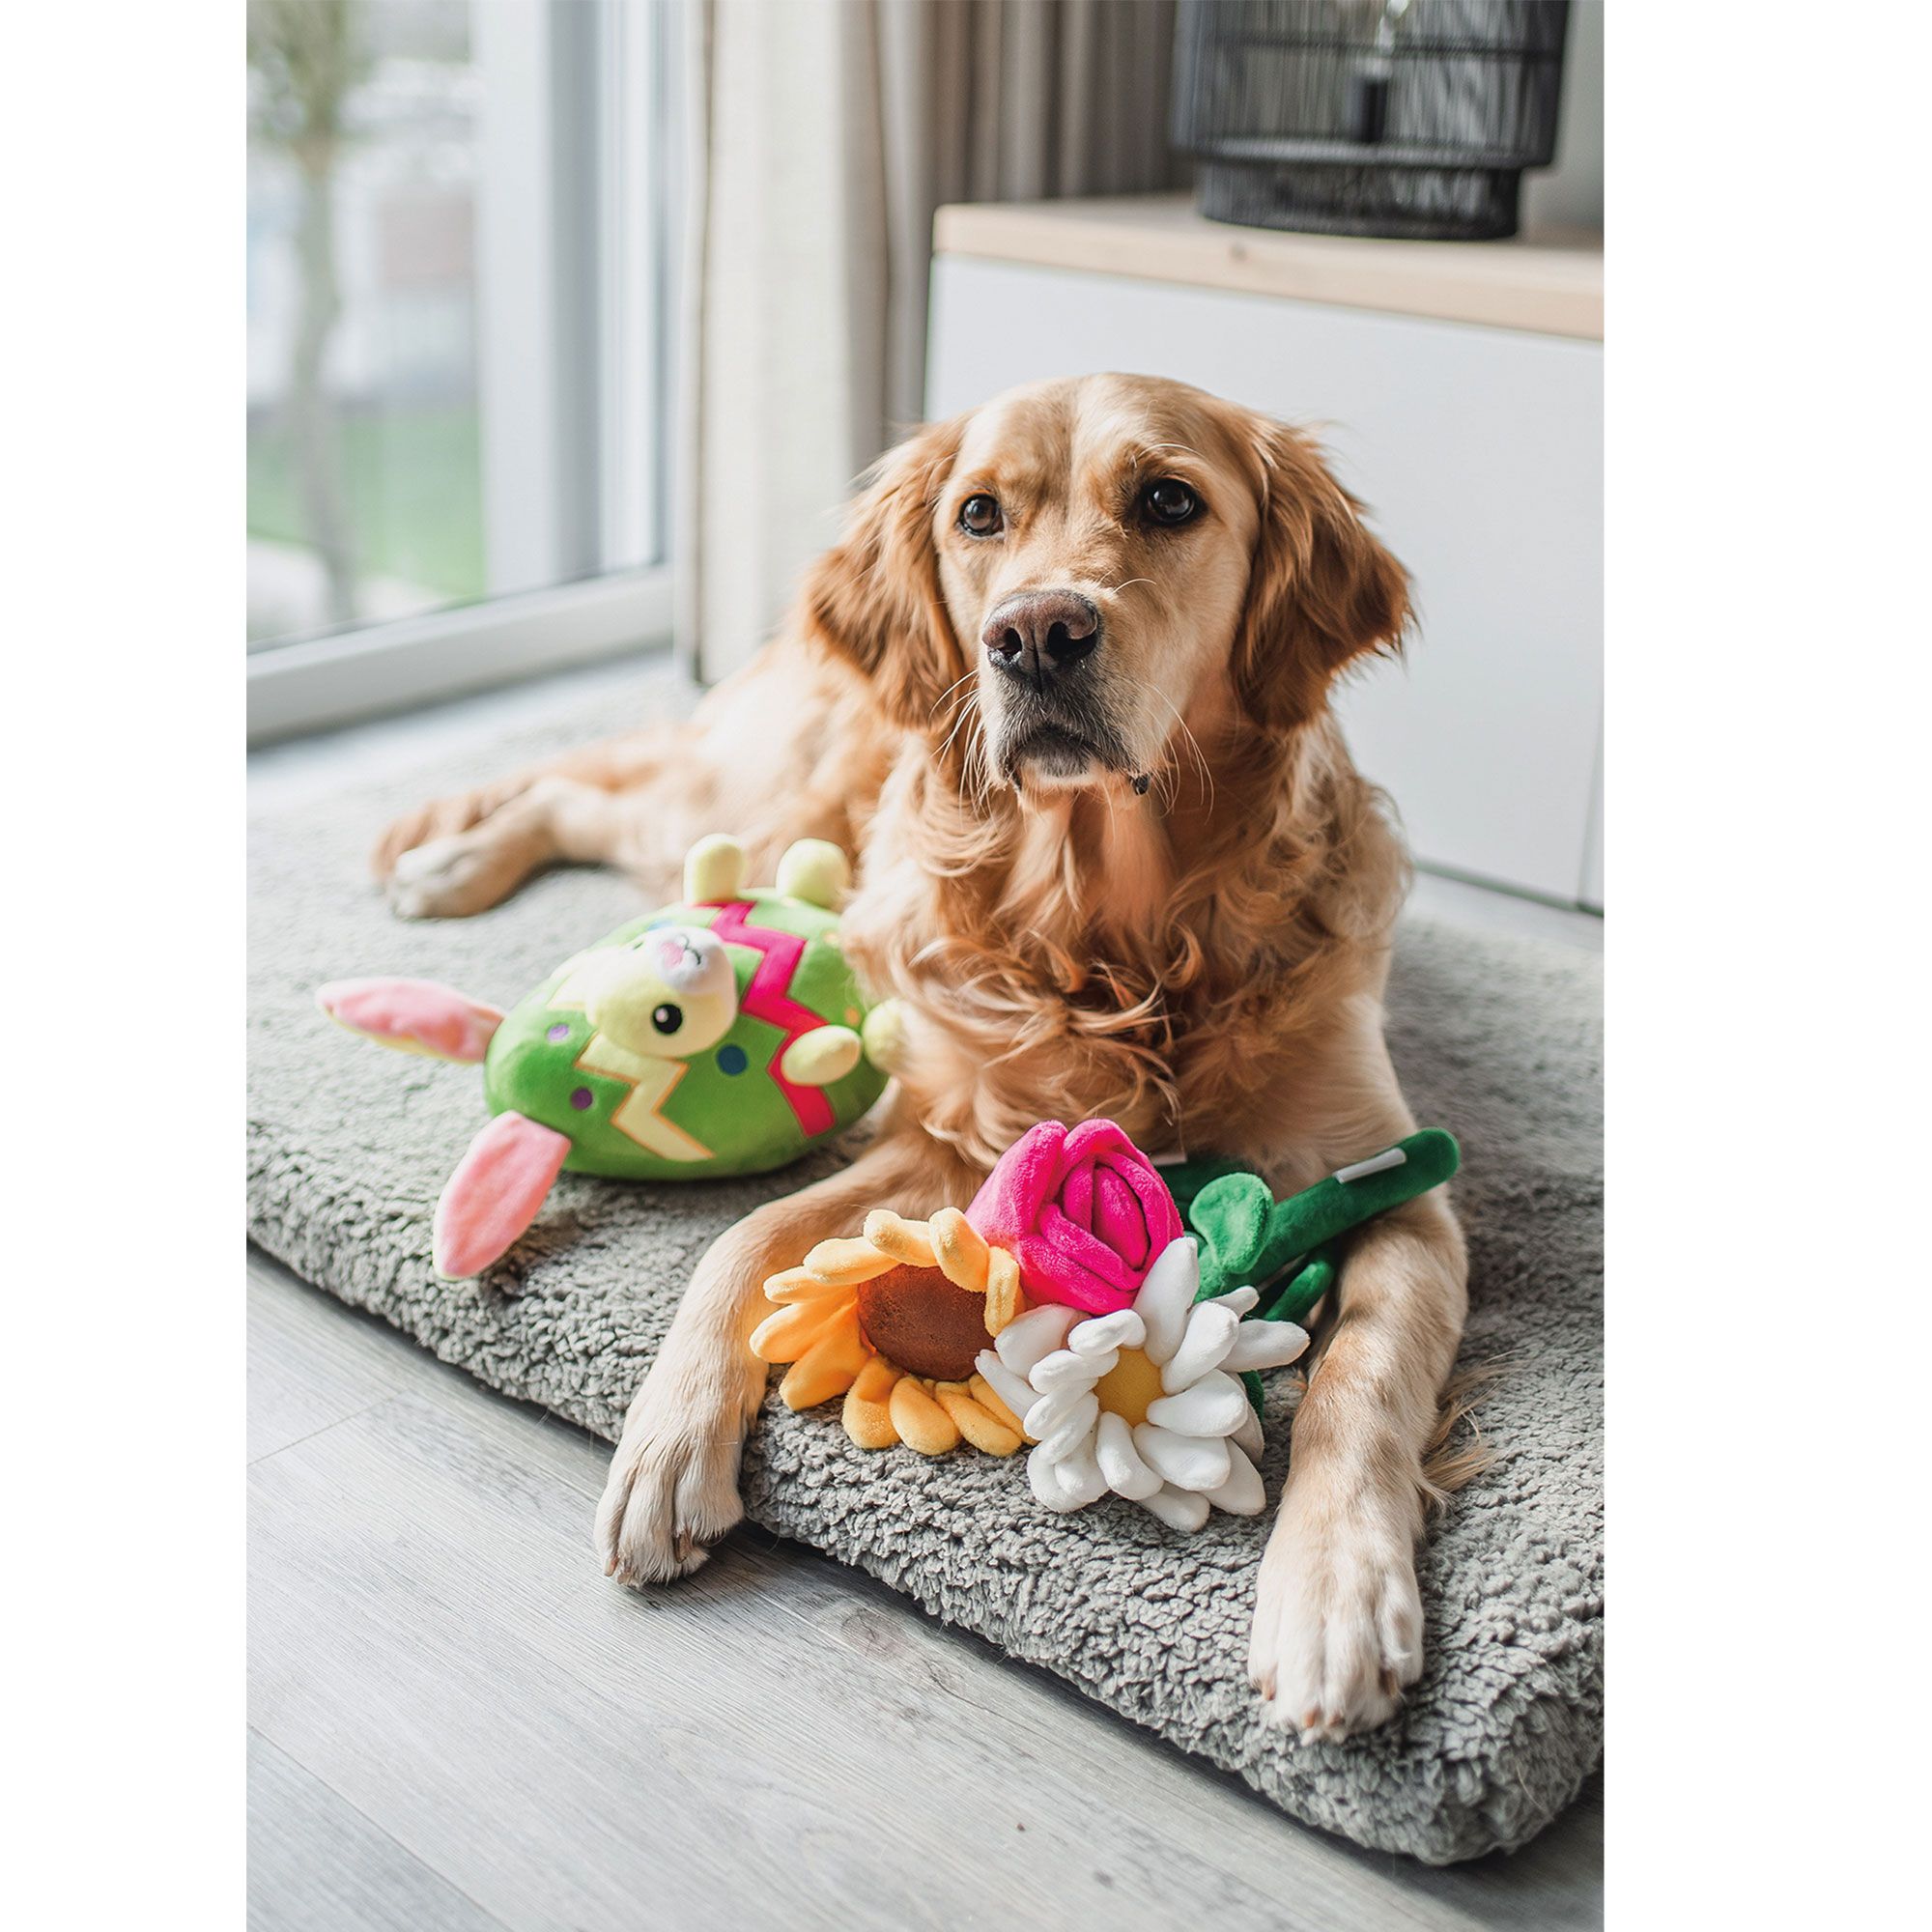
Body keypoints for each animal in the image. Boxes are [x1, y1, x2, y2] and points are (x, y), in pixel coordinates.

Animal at [373, 373, 1461, 1739]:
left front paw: (1333, 1594)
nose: (1035, 633)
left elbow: (1357, 1374)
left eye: (1169, 500)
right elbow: (741, 1239)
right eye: (979, 514)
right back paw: (455, 859)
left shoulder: (1396, 1182)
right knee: (589, 786)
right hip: (749, 808)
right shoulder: (949, 1138)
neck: (1118, 937)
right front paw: (667, 1444)